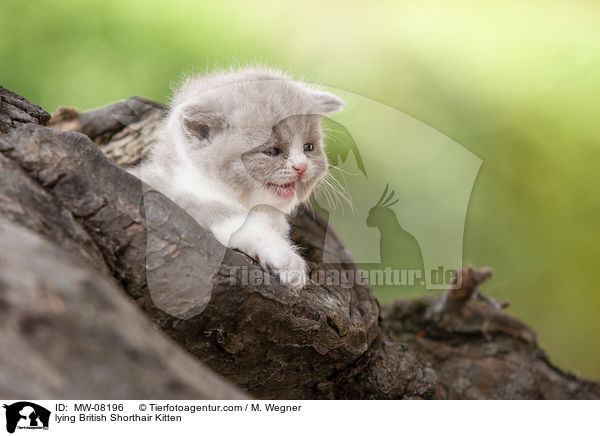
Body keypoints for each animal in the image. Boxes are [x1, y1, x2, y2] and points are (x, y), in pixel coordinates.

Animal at [133, 68, 344, 290]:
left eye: (308, 147)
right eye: (272, 151)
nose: (301, 167)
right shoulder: (177, 196)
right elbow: (242, 223)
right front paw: (288, 262)